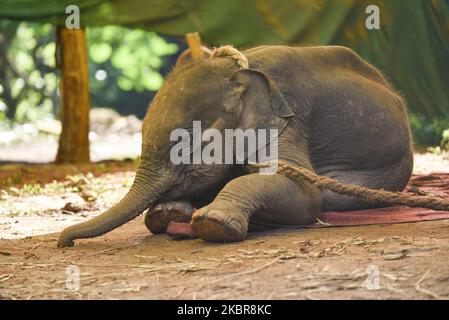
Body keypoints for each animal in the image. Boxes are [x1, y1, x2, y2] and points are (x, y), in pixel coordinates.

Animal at [57, 44, 412, 248]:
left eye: (187, 150)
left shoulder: (290, 118)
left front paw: (212, 223)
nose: (65, 243)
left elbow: (305, 191)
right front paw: (168, 214)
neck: (238, 72)